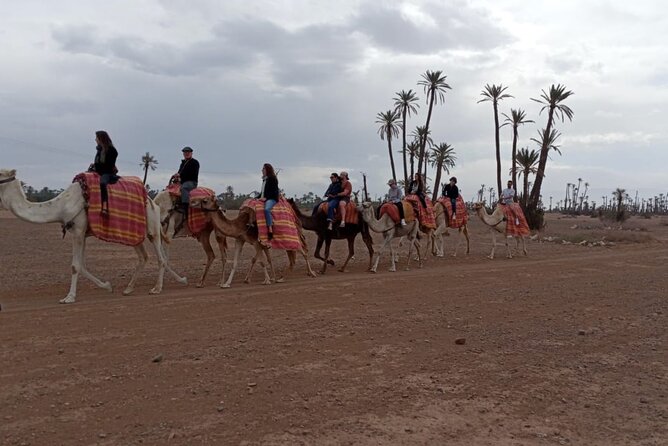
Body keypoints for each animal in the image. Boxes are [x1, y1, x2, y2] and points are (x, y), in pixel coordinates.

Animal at [0, 168, 187, 304]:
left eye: (0, 173)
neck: (62, 205)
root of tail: (152, 202)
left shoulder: (78, 230)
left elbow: (75, 265)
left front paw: (69, 297)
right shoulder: (81, 233)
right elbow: (81, 265)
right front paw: (107, 286)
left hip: (153, 227)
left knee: (161, 257)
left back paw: (157, 288)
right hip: (134, 233)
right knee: (145, 256)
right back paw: (132, 288)